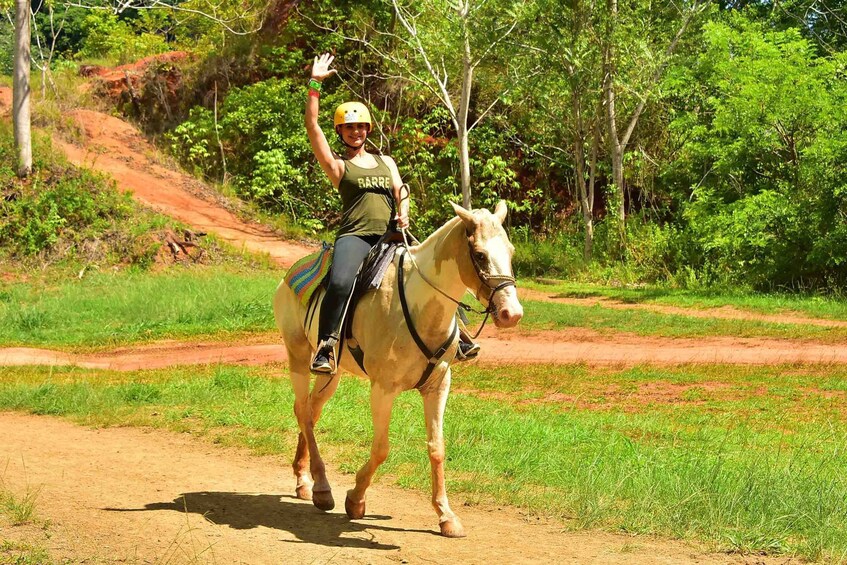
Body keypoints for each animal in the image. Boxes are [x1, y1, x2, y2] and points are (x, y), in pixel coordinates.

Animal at [274, 200, 524, 536]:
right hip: (298, 356)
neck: (421, 307)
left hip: (332, 374)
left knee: (311, 412)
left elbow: (437, 448)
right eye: (481, 254)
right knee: (302, 410)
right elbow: (381, 448)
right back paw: (322, 488)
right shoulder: (383, 389)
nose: (512, 313)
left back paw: (304, 481)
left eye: (510, 252)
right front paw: (355, 499)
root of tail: (290, 273)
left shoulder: (438, 387)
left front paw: (446, 515)